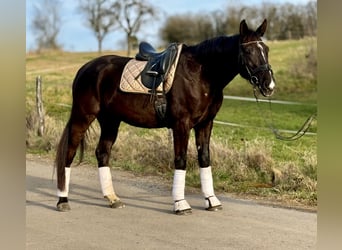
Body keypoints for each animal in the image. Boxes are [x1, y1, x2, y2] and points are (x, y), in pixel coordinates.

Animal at [55, 20, 276, 215]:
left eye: (266, 49)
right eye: (248, 51)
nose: (269, 85)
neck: (201, 74)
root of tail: (86, 68)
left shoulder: (205, 124)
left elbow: (204, 158)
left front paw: (211, 201)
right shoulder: (181, 124)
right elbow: (181, 160)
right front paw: (180, 204)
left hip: (110, 121)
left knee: (102, 153)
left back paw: (112, 198)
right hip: (83, 116)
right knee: (69, 153)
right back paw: (63, 200)